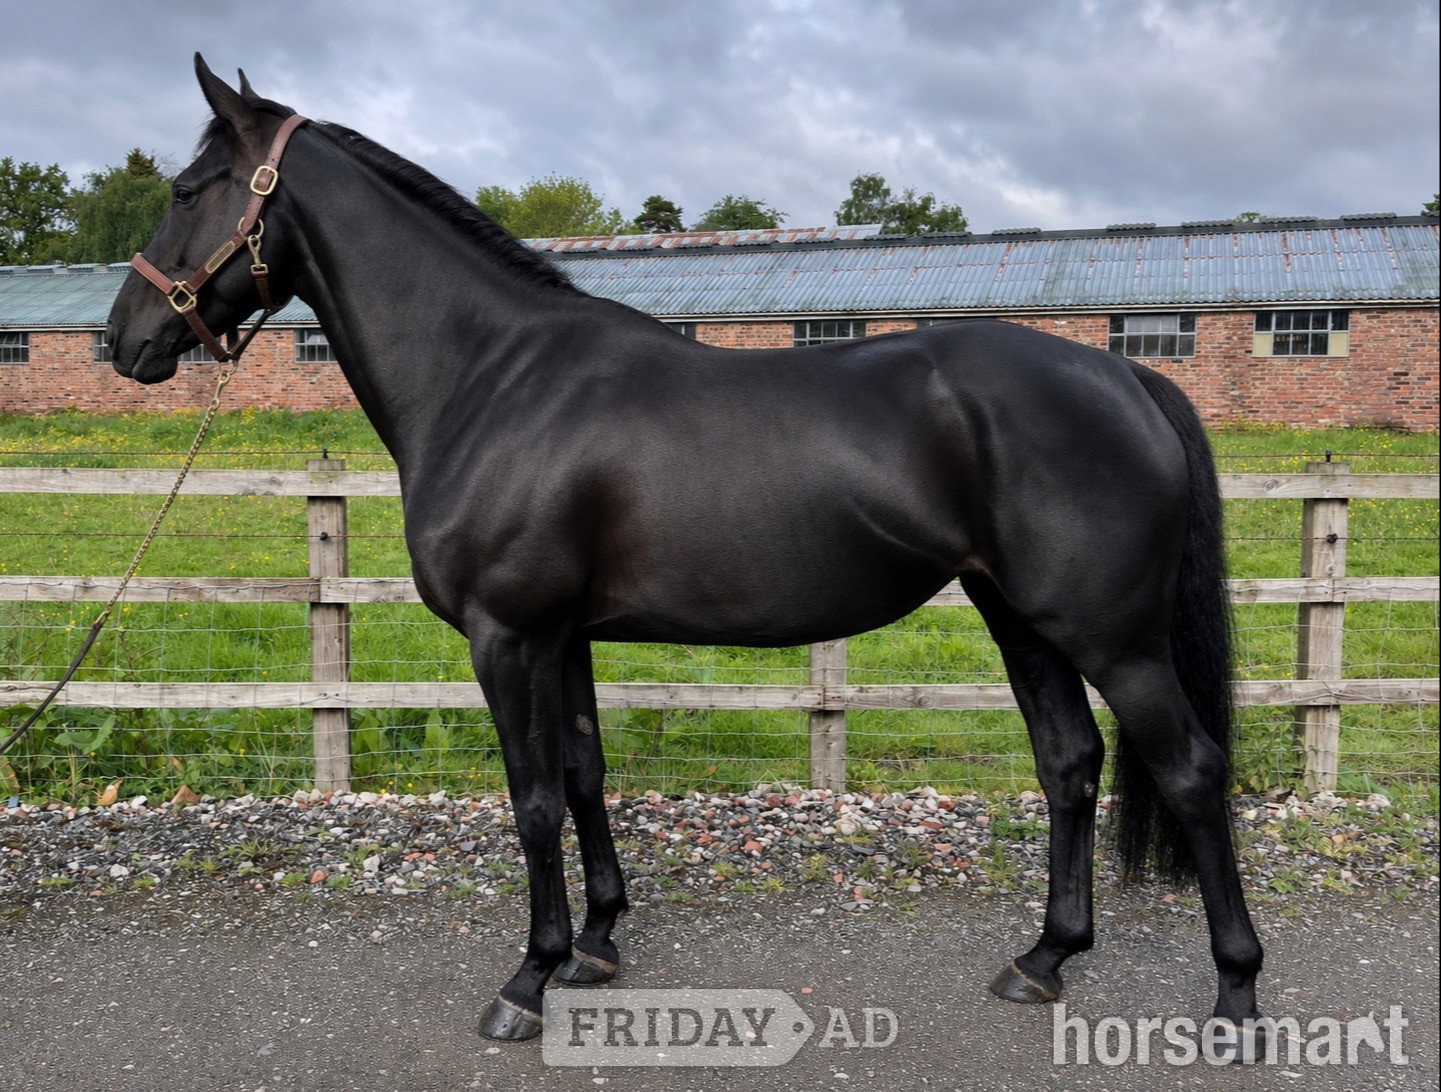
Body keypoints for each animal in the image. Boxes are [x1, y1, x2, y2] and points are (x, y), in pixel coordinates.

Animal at [106, 56, 1264, 1046]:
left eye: (187, 189)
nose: (126, 341)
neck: (493, 377)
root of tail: (1126, 376)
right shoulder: (561, 635)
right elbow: (583, 775)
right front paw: (596, 946)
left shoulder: (506, 637)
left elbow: (532, 801)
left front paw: (526, 980)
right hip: (1020, 618)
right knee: (1068, 764)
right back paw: (1043, 960)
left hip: (1111, 638)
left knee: (1192, 771)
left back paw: (1236, 997)